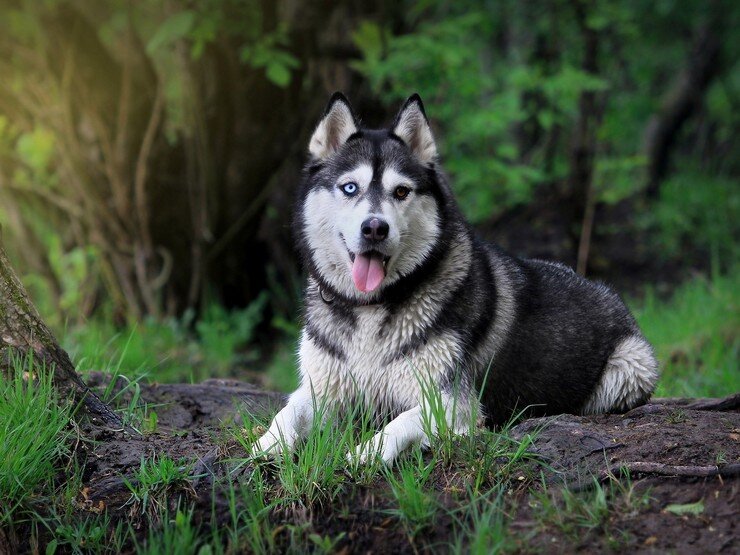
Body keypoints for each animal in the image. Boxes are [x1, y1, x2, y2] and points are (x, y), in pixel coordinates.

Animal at [256, 92, 660, 464]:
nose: (374, 228)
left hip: (631, 368)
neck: (371, 308)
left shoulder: (453, 402)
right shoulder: (322, 388)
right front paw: (266, 444)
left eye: (401, 191)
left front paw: (366, 452)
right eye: (350, 187)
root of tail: (605, 290)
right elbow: (287, 412)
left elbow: (400, 423)